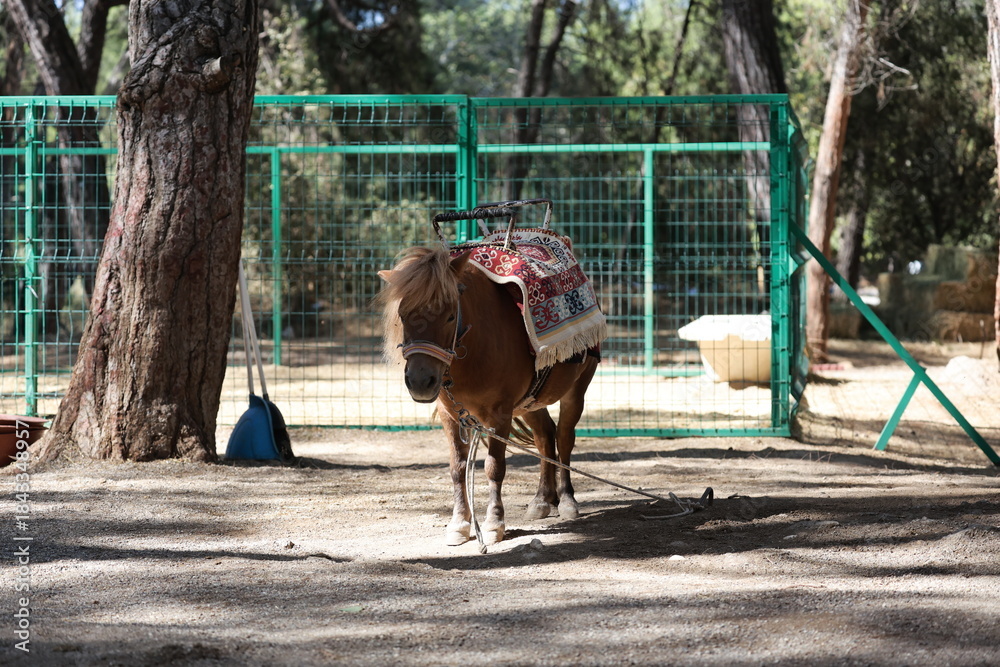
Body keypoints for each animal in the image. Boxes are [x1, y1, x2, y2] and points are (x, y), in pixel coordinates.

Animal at [378, 245, 599, 547]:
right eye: (402, 315)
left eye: (450, 315)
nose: (420, 381)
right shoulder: (450, 416)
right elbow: (457, 468)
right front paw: (459, 524)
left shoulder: (500, 415)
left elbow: (494, 467)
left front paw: (494, 524)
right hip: (530, 403)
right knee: (544, 436)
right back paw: (542, 500)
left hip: (576, 389)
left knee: (564, 437)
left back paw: (566, 500)